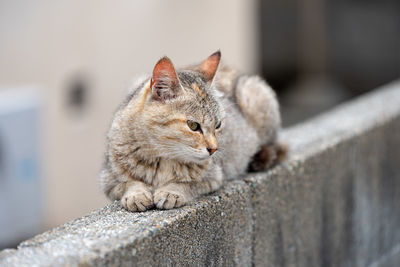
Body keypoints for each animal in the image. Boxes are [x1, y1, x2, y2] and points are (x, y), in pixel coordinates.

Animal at [100, 51, 288, 213]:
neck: (163, 158)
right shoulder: (108, 179)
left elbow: (189, 184)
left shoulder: (214, 177)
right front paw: (136, 194)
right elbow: (128, 182)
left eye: (218, 125)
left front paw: (171, 192)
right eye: (193, 126)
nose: (213, 149)